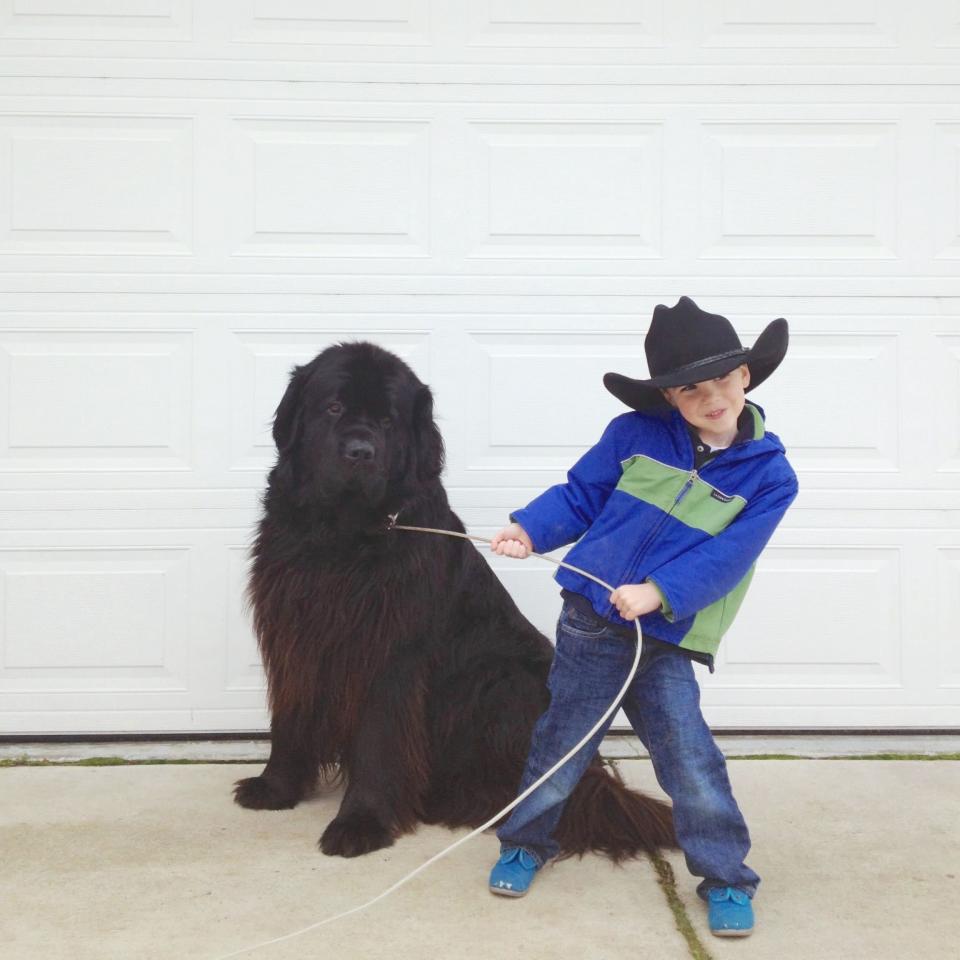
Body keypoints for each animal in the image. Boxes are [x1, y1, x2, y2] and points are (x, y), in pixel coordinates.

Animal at [236, 342, 680, 860]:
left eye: (388, 420)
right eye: (333, 408)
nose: (360, 453)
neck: (344, 537)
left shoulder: (392, 656)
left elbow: (377, 740)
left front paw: (361, 821)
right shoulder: (293, 632)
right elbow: (289, 716)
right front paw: (275, 787)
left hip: (503, 679)